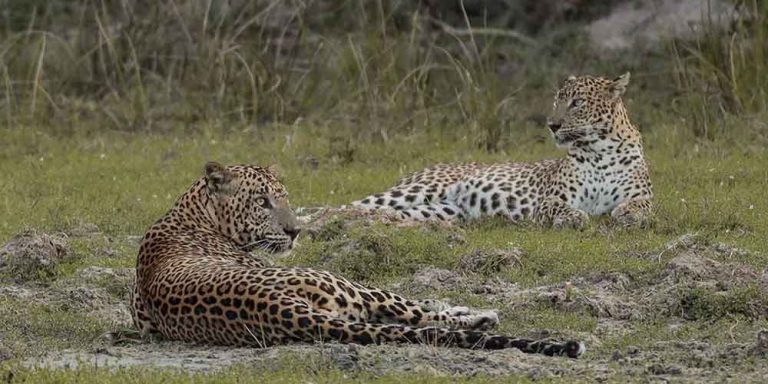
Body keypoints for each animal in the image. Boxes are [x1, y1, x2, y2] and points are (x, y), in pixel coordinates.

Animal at [129, 161, 584, 356]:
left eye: (286, 197)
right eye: (262, 202)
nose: (295, 230)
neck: (196, 214)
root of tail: (279, 311)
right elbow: (422, 310)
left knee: (407, 318)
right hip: (345, 283)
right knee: (417, 313)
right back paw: (480, 314)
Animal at [352, 72, 652, 228]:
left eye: (577, 102)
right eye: (558, 101)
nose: (552, 125)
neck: (599, 150)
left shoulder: (643, 196)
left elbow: (641, 205)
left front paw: (627, 214)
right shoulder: (548, 201)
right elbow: (561, 208)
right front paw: (576, 218)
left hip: (441, 210)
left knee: (391, 212)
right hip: (420, 188)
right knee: (352, 205)